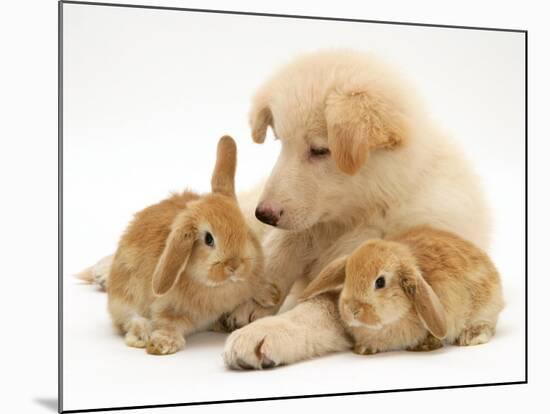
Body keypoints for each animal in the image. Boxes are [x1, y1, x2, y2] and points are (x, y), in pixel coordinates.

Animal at [106, 136, 280, 356]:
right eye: (208, 239)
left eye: (244, 227)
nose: (234, 265)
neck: (218, 287)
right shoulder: (167, 308)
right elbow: (167, 323)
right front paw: (163, 344)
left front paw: (271, 294)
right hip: (124, 296)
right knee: (130, 320)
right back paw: (142, 335)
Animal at [302, 225, 504, 354]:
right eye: (347, 276)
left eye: (380, 282)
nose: (352, 310)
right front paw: (364, 349)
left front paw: (425, 345)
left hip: (485, 308)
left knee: (486, 325)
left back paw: (470, 337)